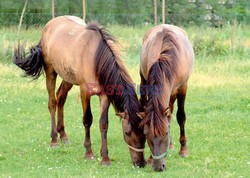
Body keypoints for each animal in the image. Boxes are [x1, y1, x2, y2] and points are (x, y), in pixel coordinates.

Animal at [13, 15, 146, 167]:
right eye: (127, 132)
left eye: (144, 131)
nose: (140, 163)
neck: (95, 59)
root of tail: (49, 25)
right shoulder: (84, 92)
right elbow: (87, 120)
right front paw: (89, 153)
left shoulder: (104, 95)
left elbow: (103, 123)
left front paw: (105, 158)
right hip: (51, 71)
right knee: (52, 102)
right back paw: (54, 140)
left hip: (68, 78)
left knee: (61, 97)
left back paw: (63, 135)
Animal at [139, 24, 193, 170]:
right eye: (146, 134)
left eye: (166, 133)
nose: (159, 166)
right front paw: (150, 158)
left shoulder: (182, 88)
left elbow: (181, 117)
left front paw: (183, 150)